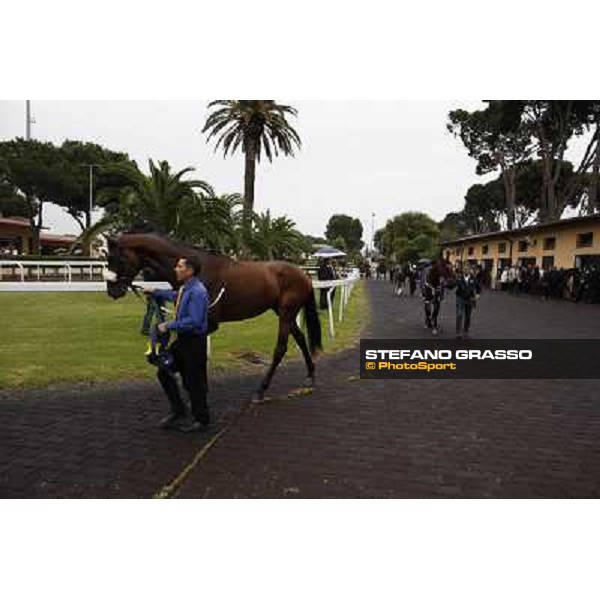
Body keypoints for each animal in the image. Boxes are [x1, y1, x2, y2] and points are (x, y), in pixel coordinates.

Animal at [102, 232, 324, 400]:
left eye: (117, 259)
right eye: (106, 258)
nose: (112, 290)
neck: (198, 271)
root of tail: (304, 274)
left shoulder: (206, 323)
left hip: (286, 313)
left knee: (280, 349)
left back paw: (261, 389)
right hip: (283, 312)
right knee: (301, 338)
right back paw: (310, 375)